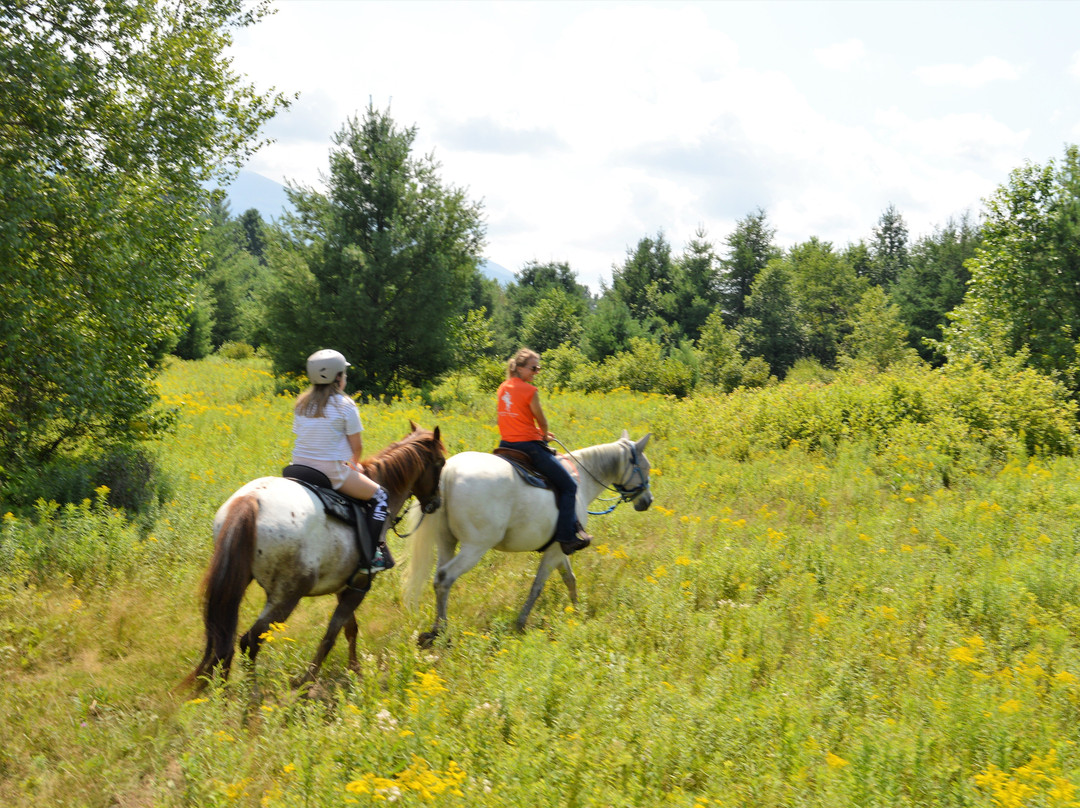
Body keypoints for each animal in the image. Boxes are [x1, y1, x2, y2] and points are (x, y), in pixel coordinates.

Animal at [401, 432, 643, 648]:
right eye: (645, 466)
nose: (646, 501)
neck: (581, 483)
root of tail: (449, 472)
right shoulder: (556, 549)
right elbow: (537, 586)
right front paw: (521, 622)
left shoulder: (559, 547)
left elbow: (570, 579)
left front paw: (577, 609)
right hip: (474, 547)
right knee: (445, 577)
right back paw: (441, 632)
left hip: (446, 542)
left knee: (438, 578)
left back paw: (434, 630)